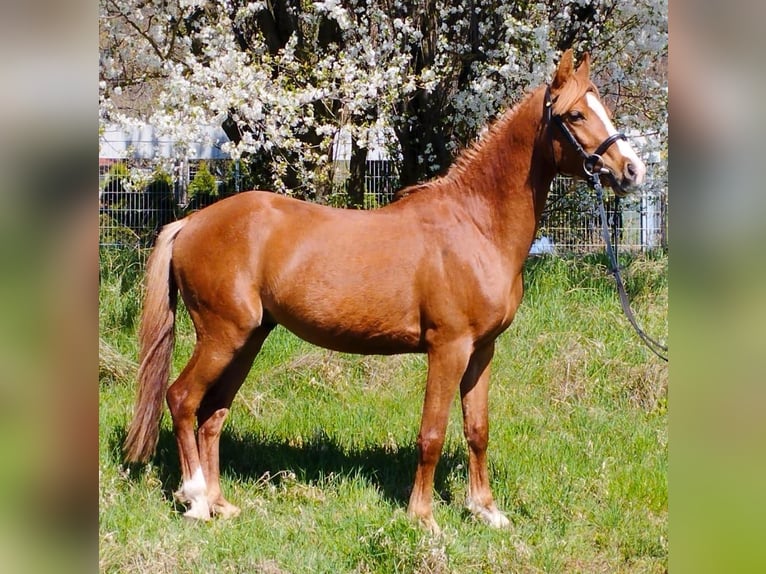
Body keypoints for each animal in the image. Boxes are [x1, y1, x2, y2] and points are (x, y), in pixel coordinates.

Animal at [123, 49, 646, 534]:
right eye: (575, 114)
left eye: (601, 107)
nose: (633, 170)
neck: (476, 225)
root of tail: (192, 222)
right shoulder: (449, 348)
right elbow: (432, 432)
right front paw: (424, 518)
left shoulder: (482, 350)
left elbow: (477, 429)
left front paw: (486, 511)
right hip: (222, 335)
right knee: (182, 399)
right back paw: (195, 500)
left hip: (248, 338)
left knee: (213, 413)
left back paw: (220, 504)